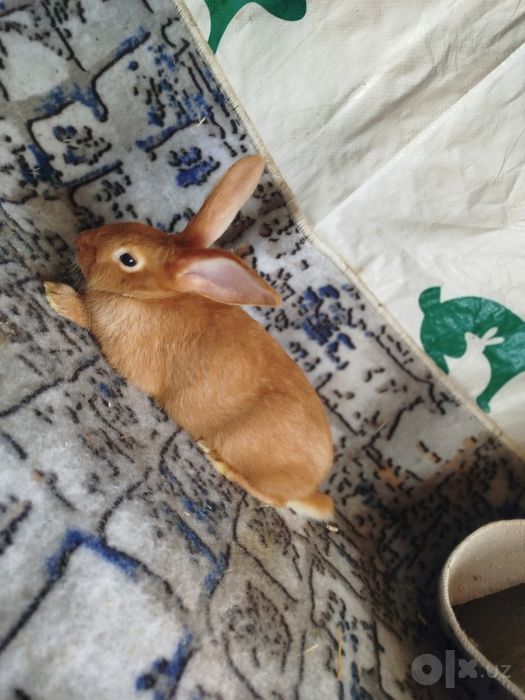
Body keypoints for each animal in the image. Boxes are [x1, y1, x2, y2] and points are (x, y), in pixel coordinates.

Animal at [44, 156, 335, 520]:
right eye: (138, 226)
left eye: (128, 259)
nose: (82, 240)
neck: (152, 298)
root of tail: (309, 489)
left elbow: (89, 318)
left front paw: (58, 296)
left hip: (242, 446)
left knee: (275, 499)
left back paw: (218, 461)